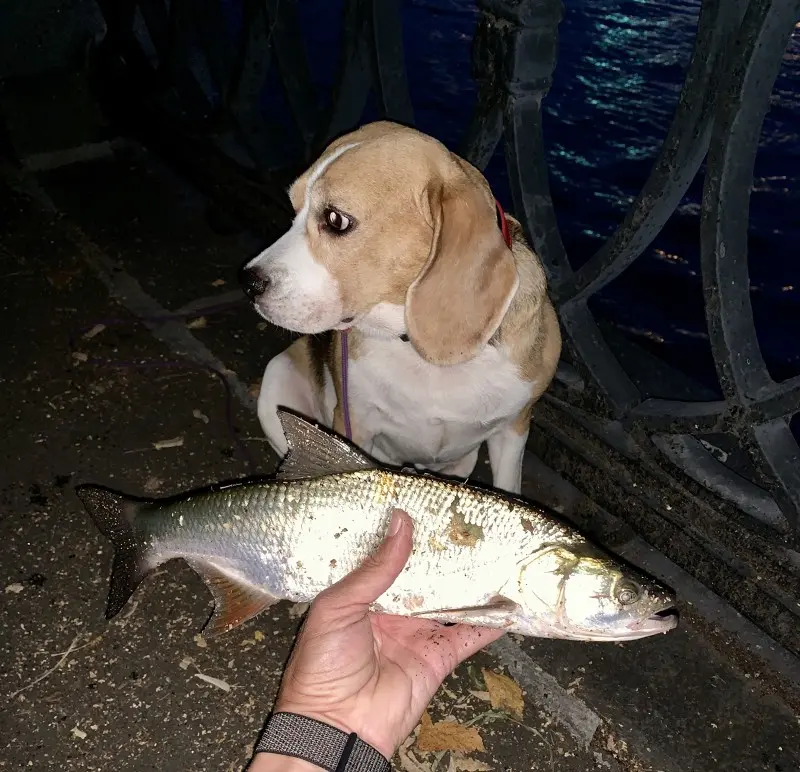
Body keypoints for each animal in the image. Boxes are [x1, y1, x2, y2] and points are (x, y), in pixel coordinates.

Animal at [241, 120, 560, 494]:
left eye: (335, 220)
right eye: (293, 209)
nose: (248, 283)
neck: (421, 354)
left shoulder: (514, 429)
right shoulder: (354, 421)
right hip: (275, 385)